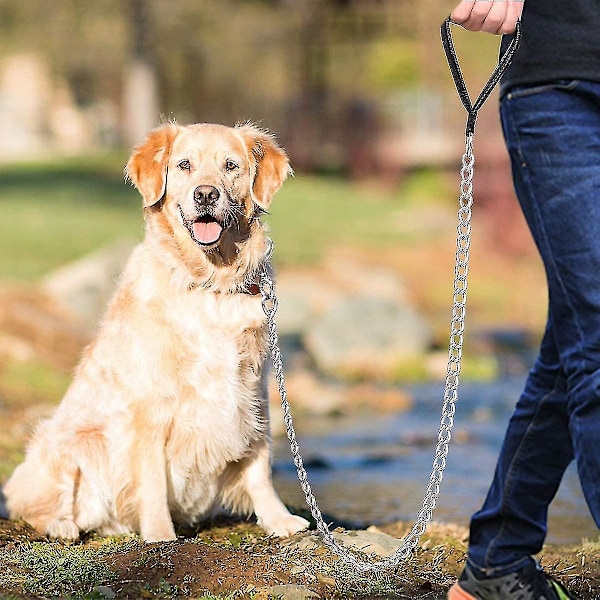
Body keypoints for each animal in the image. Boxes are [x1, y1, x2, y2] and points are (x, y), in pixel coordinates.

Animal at [5, 120, 310, 540]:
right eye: (184, 164)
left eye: (231, 166)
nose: (206, 193)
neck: (210, 283)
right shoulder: (150, 404)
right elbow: (149, 479)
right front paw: (160, 534)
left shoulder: (254, 390)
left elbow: (259, 464)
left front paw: (279, 519)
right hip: (70, 441)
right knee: (28, 501)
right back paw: (61, 525)